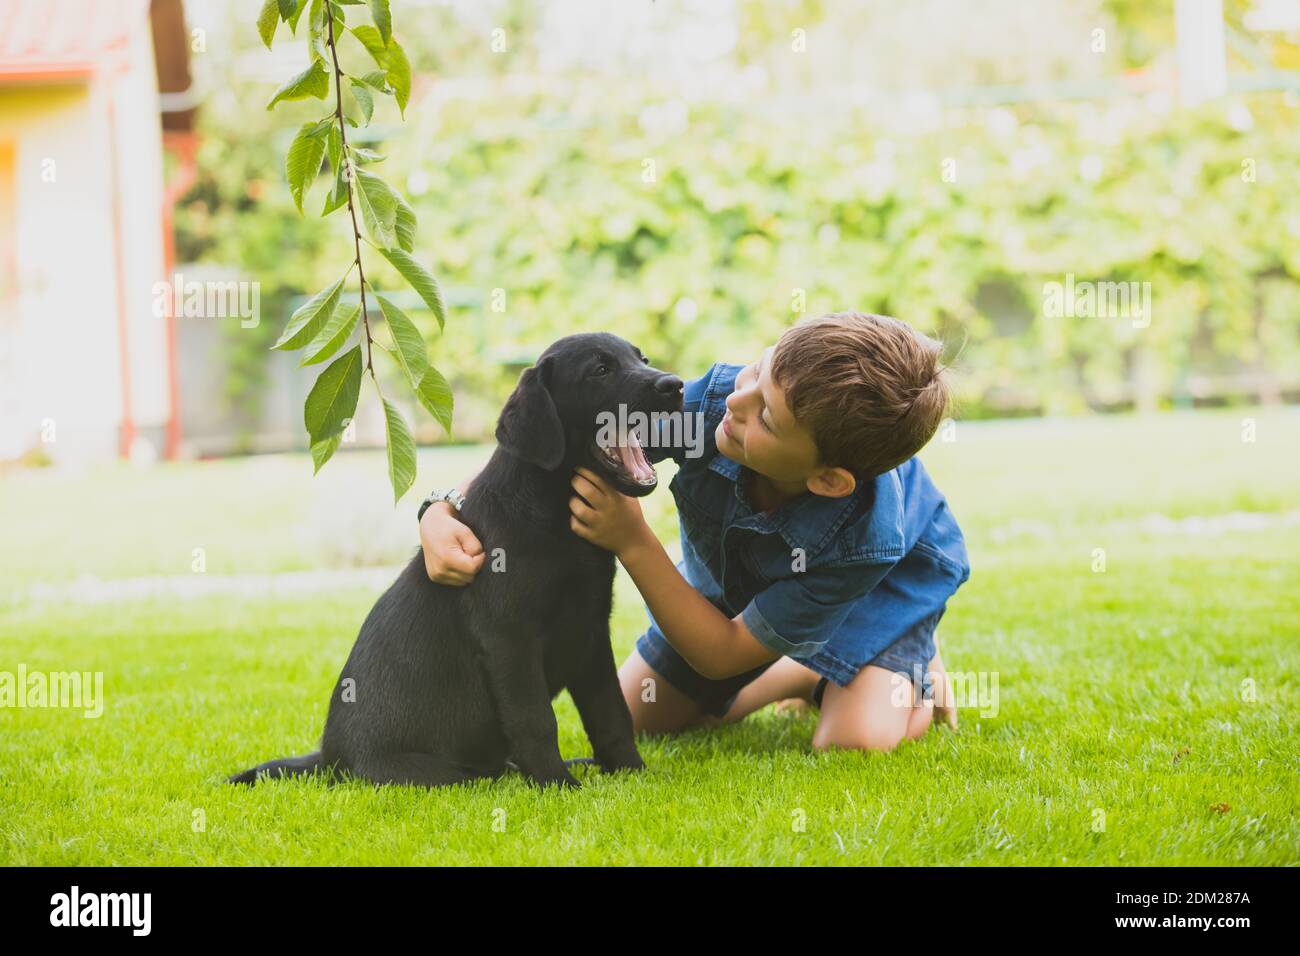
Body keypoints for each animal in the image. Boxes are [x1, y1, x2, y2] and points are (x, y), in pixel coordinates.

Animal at [230, 335, 686, 790]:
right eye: (601, 369)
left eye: (642, 359)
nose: (675, 385)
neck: (551, 509)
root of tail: (329, 760)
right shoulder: (509, 638)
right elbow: (537, 720)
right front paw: (557, 784)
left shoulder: (590, 631)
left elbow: (611, 711)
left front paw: (632, 772)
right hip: (447, 774)